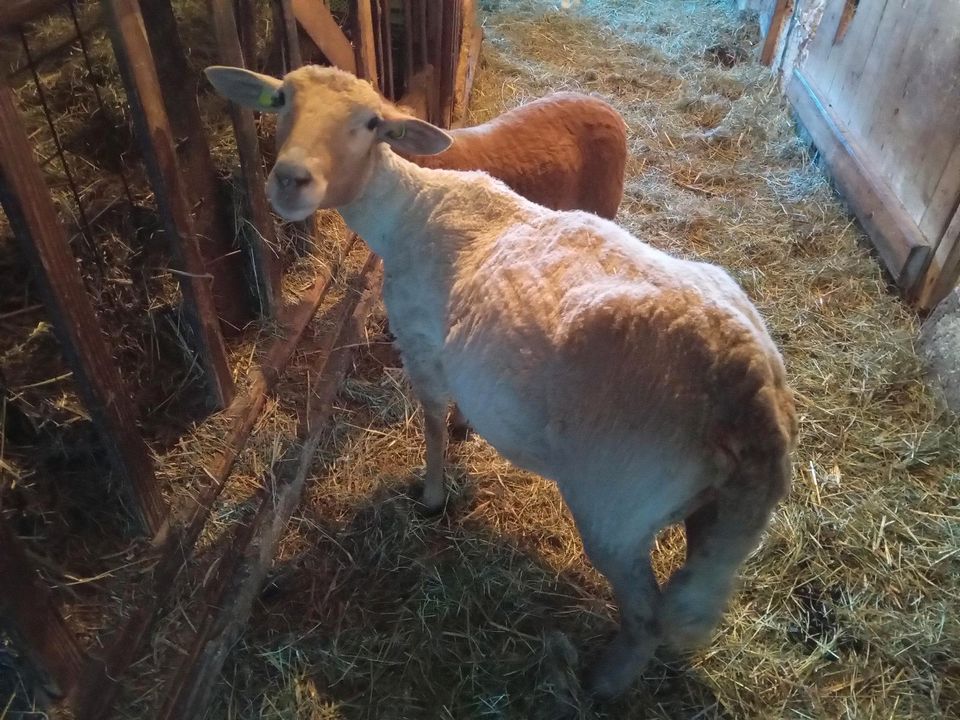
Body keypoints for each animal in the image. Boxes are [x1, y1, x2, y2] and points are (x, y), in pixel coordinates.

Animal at [206, 64, 800, 700]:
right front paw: (465, 431)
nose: (290, 181)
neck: (408, 207)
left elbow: (432, 422)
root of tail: (752, 391)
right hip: (722, 520)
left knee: (646, 616)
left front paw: (432, 494)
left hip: (616, 507)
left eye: (370, 123)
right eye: (280, 99)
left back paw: (599, 685)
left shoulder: (420, 341)